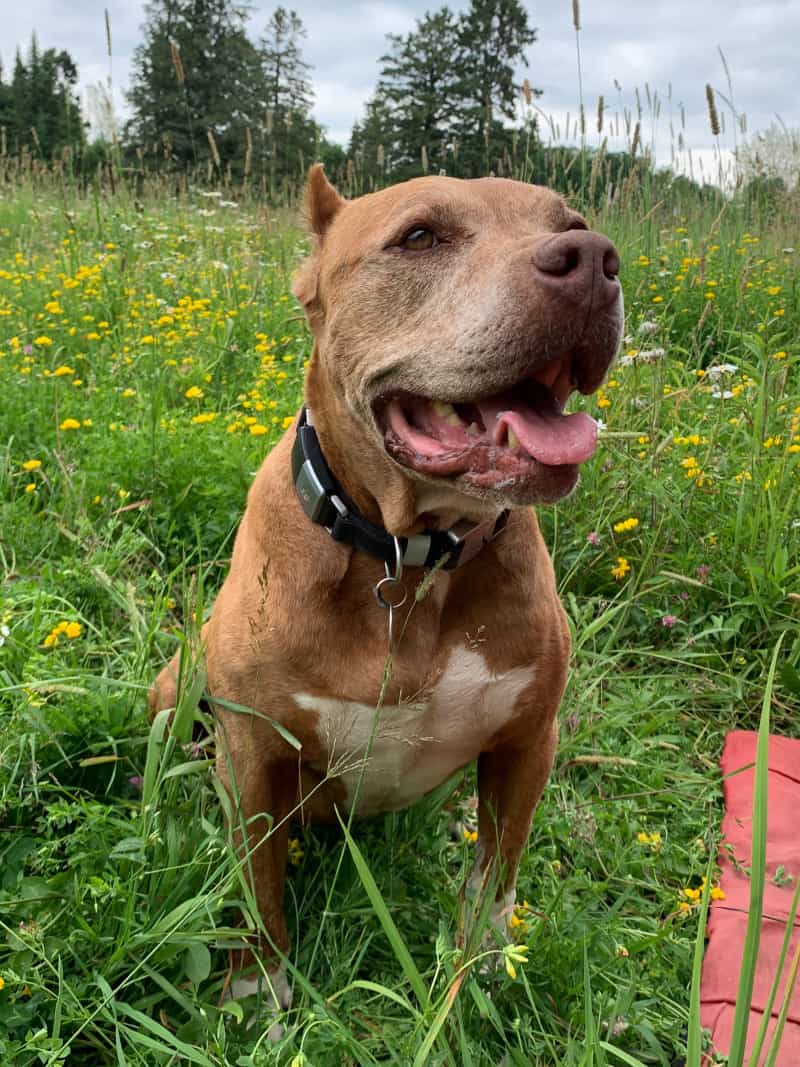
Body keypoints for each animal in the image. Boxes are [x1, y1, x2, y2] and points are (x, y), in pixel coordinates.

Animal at [151, 164, 627, 1024]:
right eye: (420, 237)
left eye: (570, 223)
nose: (592, 262)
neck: (412, 556)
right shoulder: (253, 752)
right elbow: (257, 886)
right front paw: (258, 990)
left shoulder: (527, 741)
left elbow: (496, 874)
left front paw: (479, 972)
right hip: (175, 688)